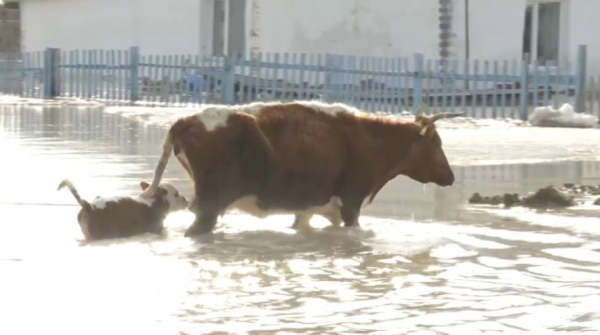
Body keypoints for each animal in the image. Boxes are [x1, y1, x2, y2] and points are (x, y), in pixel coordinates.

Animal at [141, 101, 460, 238]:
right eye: (437, 143)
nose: (451, 176)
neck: (369, 138)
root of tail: (190, 119)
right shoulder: (351, 205)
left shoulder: (310, 208)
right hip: (209, 206)